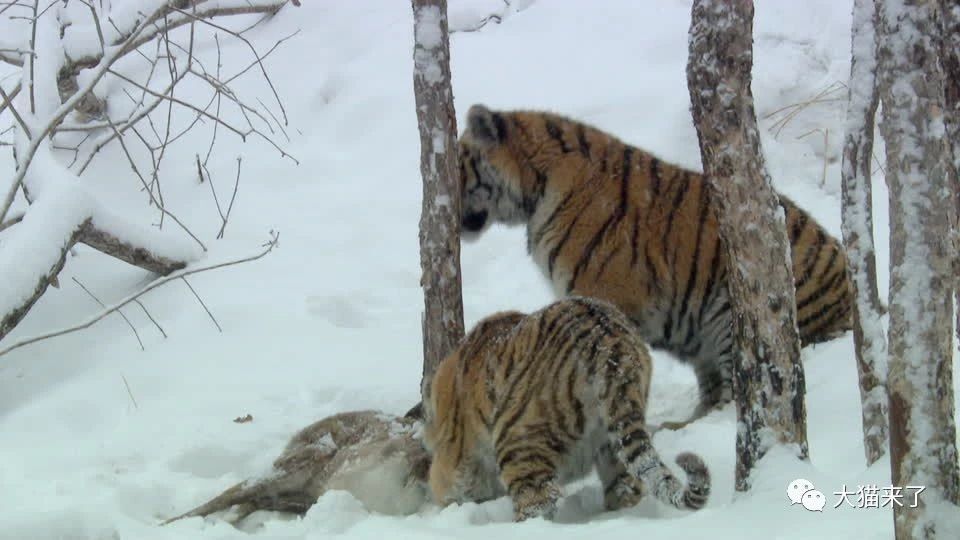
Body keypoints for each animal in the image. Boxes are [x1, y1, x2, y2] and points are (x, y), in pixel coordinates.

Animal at [422, 296, 712, 524]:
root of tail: (612, 347)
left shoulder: (456, 463)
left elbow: (447, 486)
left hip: (519, 442)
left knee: (536, 503)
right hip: (617, 437)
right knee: (627, 484)